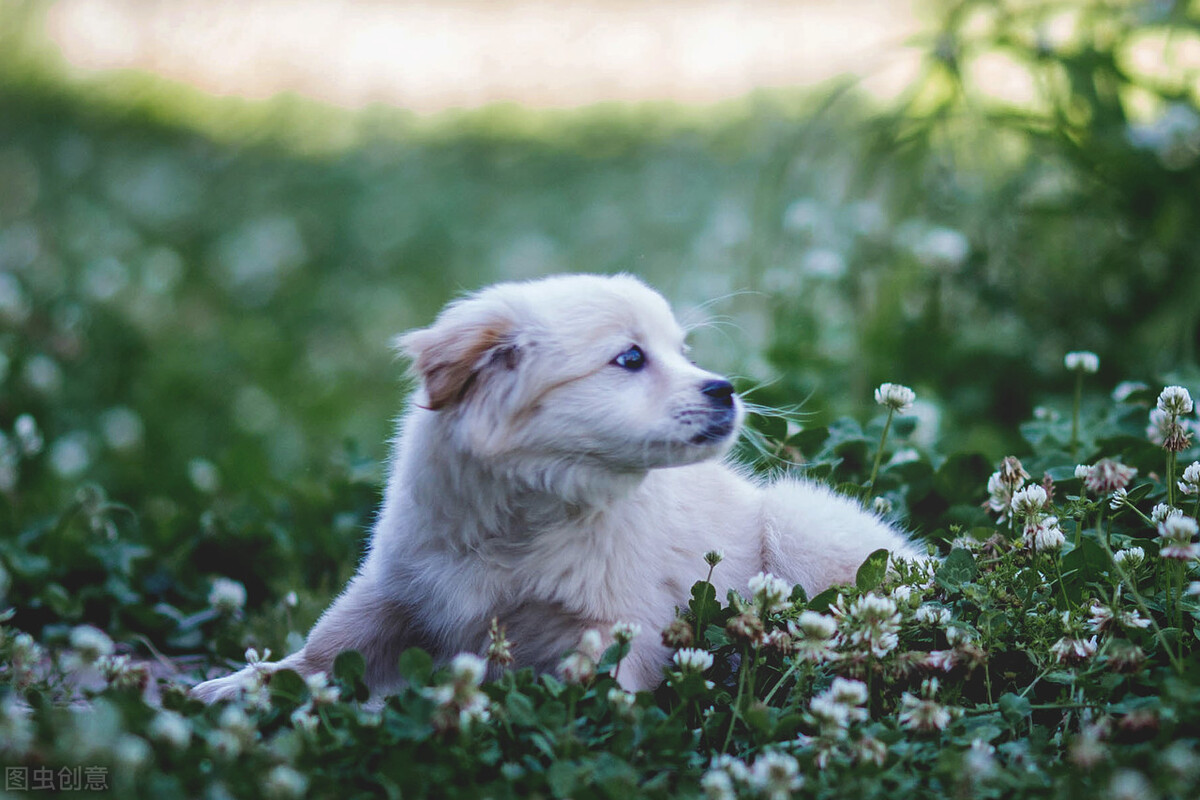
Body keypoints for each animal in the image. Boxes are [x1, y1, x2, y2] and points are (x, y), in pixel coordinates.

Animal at [192, 273, 912, 700]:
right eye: (631, 358)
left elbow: (597, 690)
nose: (725, 389)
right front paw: (235, 685)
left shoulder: (614, 629)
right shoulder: (396, 589)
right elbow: (320, 651)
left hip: (796, 522)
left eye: (683, 352)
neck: (525, 519)